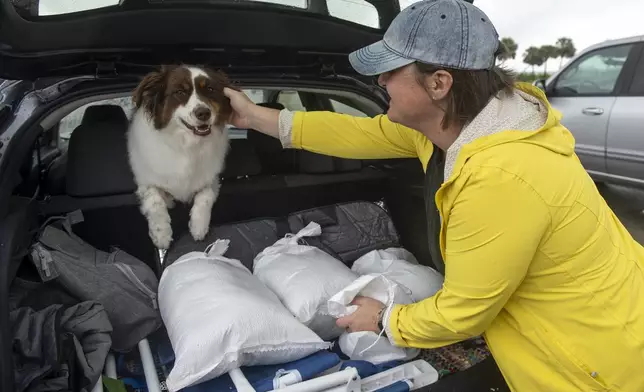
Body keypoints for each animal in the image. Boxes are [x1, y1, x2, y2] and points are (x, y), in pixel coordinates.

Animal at [127, 64, 233, 248]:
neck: (186, 145)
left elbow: (205, 196)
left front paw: (199, 226)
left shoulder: (211, 178)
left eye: (210, 89)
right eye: (180, 92)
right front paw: (161, 234)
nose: (203, 113)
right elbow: (155, 201)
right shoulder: (146, 181)